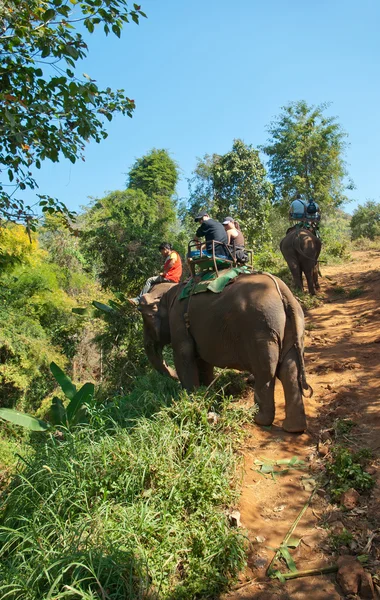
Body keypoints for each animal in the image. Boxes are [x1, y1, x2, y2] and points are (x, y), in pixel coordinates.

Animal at [138, 274, 310, 434]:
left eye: (146, 319)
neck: (171, 291)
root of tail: (284, 292)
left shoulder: (178, 320)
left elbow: (183, 356)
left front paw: (193, 399)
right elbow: (203, 362)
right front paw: (207, 397)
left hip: (261, 328)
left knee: (265, 371)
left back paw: (259, 419)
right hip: (291, 324)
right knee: (289, 369)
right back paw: (294, 429)